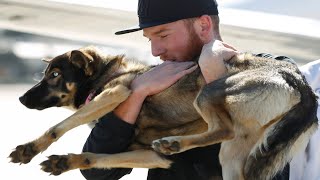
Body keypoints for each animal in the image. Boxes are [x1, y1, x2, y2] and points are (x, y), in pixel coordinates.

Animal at [8, 45, 318, 179]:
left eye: (55, 75)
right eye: (46, 73)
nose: (21, 98)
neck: (106, 75)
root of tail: (301, 84)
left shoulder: (117, 93)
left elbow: (59, 126)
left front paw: (29, 148)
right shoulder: (152, 156)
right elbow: (95, 158)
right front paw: (64, 162)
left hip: (209, 95)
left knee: (223, 128)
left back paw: (175, 142)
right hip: (236, 157)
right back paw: (172, 144)